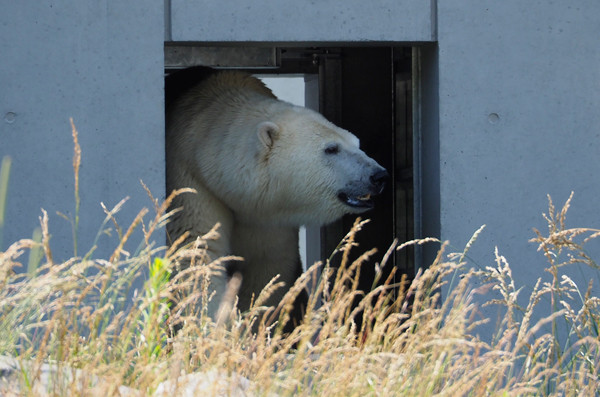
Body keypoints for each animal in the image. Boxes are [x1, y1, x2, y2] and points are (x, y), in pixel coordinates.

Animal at [165, 67, 390, 322]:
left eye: (357, 143)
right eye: (331, 149)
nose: (378, 176)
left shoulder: (269, 215)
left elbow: (269, 268)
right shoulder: (191, 183)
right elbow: (197, 252)